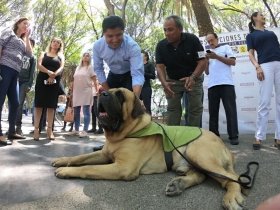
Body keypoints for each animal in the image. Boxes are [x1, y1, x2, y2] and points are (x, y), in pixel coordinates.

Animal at [51, 87, 246, 210]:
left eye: (120, 95)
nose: (102, 93)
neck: (125, 133)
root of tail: (225, 146)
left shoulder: (123, 167)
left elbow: (88, 167)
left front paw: (66, 171)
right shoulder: (104, 154)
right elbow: (80, 158)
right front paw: (63, 160)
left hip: (198, 154)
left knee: (233, 179)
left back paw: (231, 197)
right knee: (201, 175)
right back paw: (178, 184)